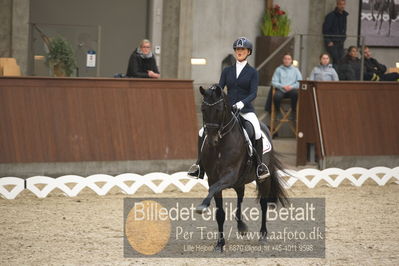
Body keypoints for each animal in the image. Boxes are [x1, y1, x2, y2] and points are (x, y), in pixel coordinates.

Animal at [195, 84, 290, 251]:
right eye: (203, 109)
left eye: (219, 110)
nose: (212, 140)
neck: (220, 146)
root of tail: (266, 127)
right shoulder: (213, 178)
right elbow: (219, 213)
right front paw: (220, 244)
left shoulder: (229, 175)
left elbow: (213, 189)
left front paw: (203, 206)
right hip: (240, 181)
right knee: (240, 197)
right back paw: (241, 226)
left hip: (262, 179)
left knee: (263, 204)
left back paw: (263, 235)